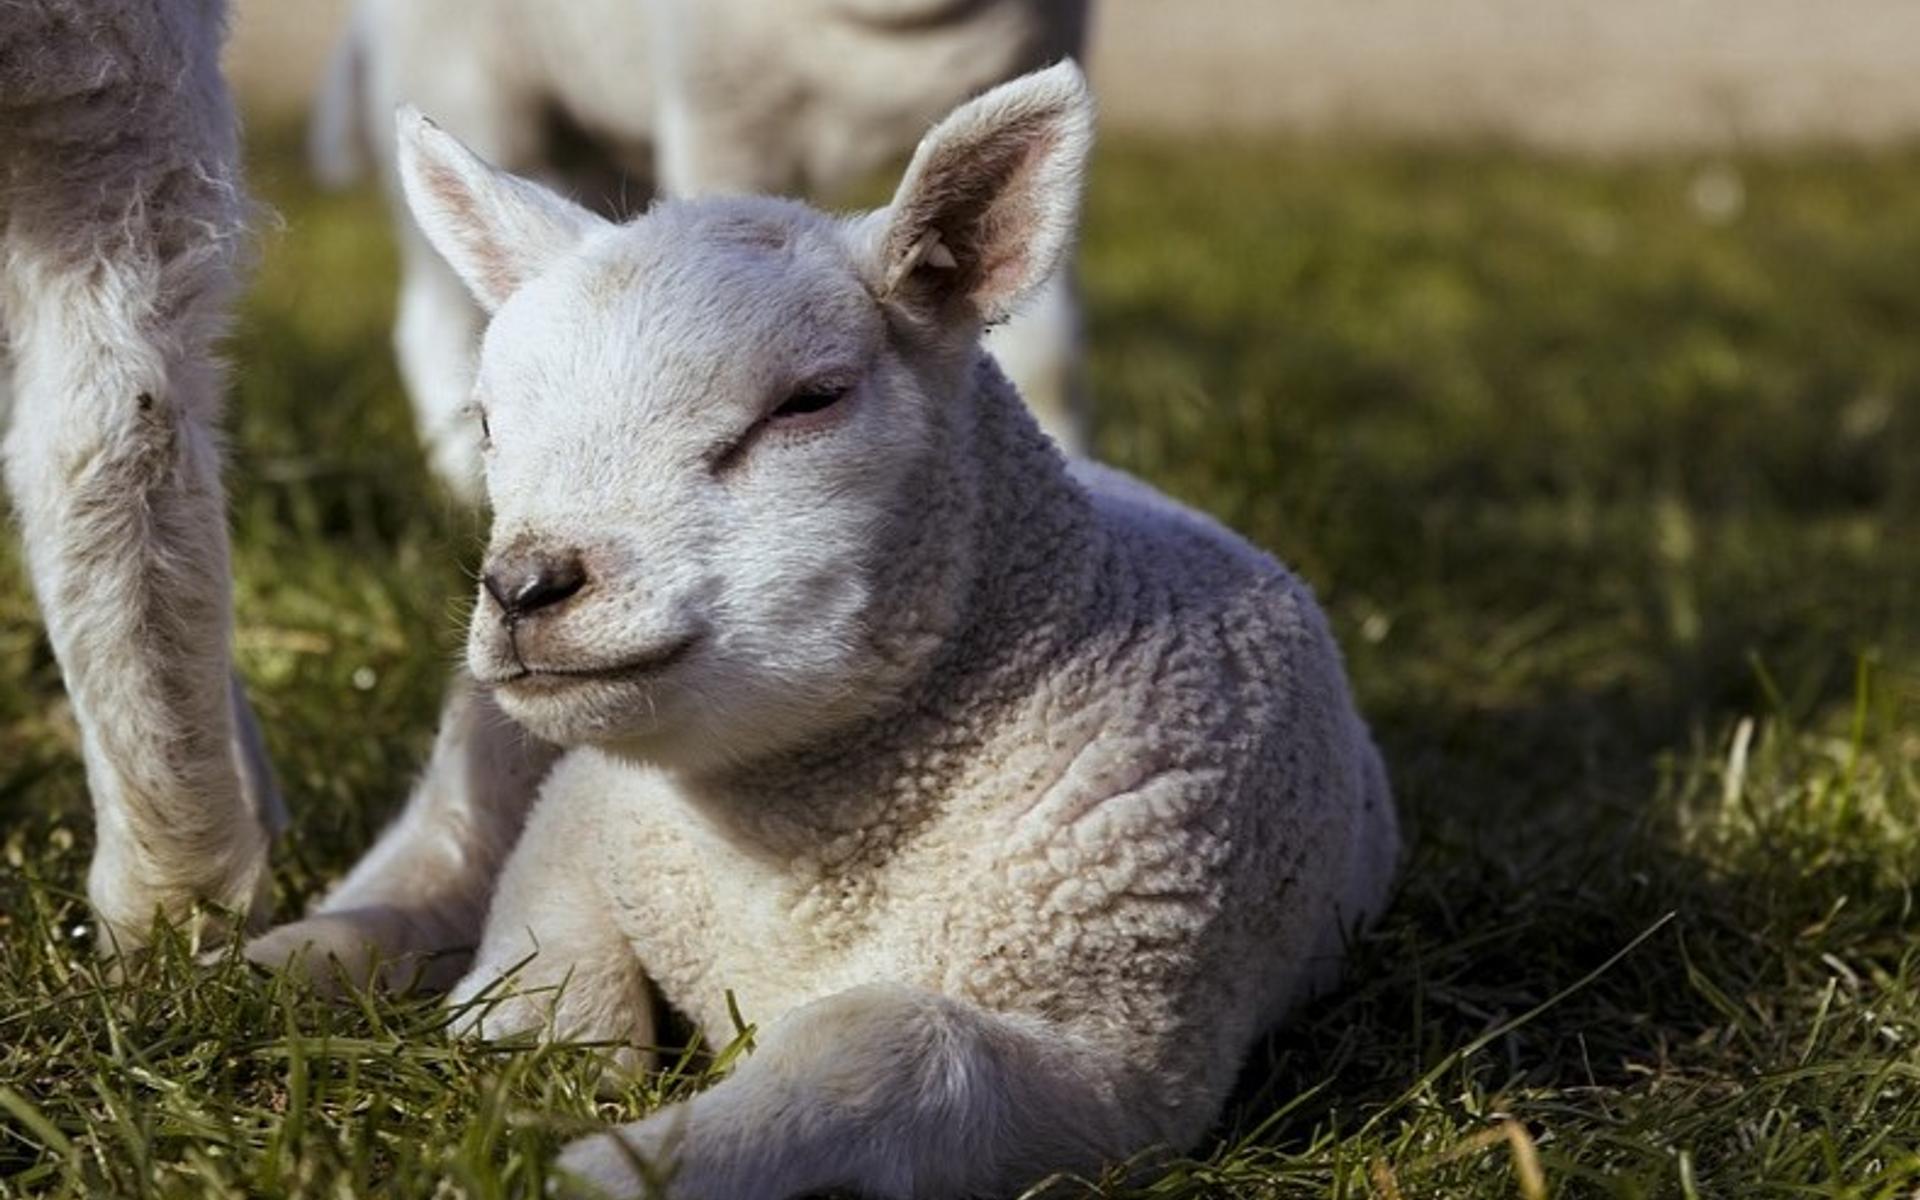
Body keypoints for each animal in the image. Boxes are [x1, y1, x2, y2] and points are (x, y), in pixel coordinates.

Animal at [249, 62, 1400, 1197]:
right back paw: (277, 962)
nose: (525, 586)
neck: (787, 858)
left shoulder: (1127, 1068)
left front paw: (611, 1164)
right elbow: (540, 970)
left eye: (810, 400)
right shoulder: (578, 815)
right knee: (436, 849)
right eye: (487, 423)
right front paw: (526, 1067)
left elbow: (881, 1041)